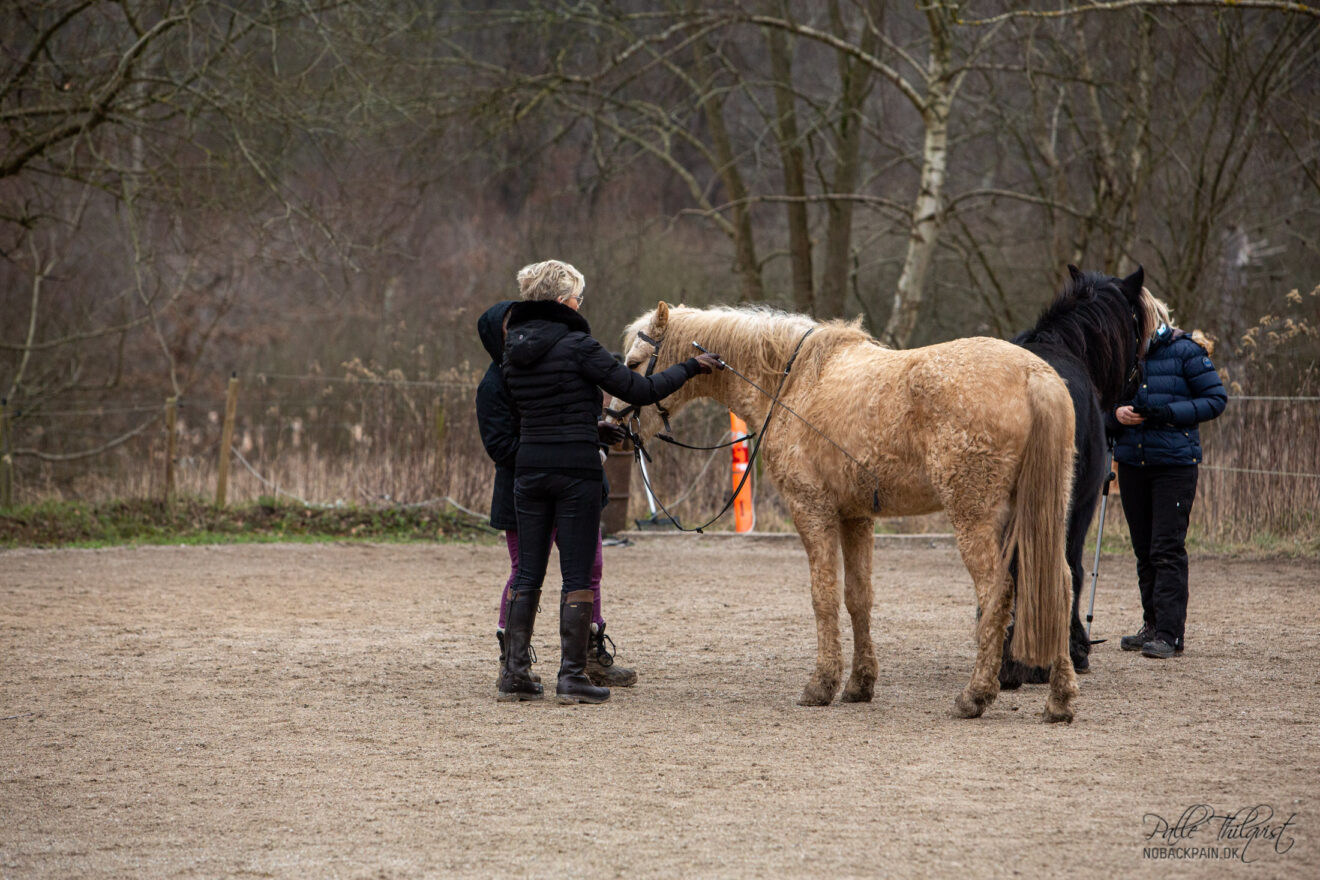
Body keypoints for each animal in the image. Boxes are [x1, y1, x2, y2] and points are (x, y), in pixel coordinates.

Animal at [623, 303, 1077, 722]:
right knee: (1060, 586)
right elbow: (858, 597)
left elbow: (823, 597)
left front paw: (821, 684)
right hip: (1039, 517)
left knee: (996, 594)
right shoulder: (855, 518)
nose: (615, 424)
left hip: (976, 519)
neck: (791, 382)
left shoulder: (812, 511)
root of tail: (1033, 375)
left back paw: (975, 695)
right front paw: (860, 684)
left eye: (633, 363)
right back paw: (1059, 700)